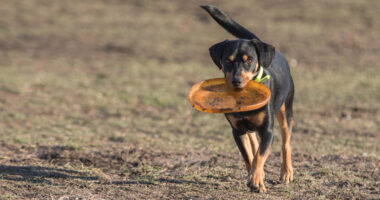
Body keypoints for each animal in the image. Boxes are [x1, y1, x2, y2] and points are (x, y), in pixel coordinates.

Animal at [200, 4, 296, 192]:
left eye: (249, 60)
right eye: (228, 61)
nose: (236, 81)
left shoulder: (267, 130)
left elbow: (260, 155)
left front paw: (256, 181)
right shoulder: (237, 130)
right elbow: (249, 156)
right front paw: (256, 179)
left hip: (285, 110)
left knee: (286, 142)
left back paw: (286, 172)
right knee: (254, 142)